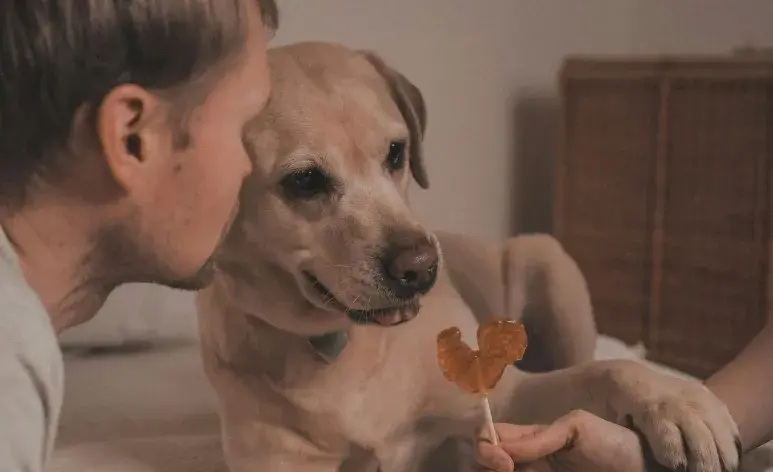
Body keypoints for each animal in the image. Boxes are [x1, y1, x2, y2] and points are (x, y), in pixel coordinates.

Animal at [196, 41, 740, 472]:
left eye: (396, 153)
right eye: (305, 181)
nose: (421, 269)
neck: (340, 343)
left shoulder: (504, 396)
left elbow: (610, 371)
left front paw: (681, 404)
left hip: (548, 261)